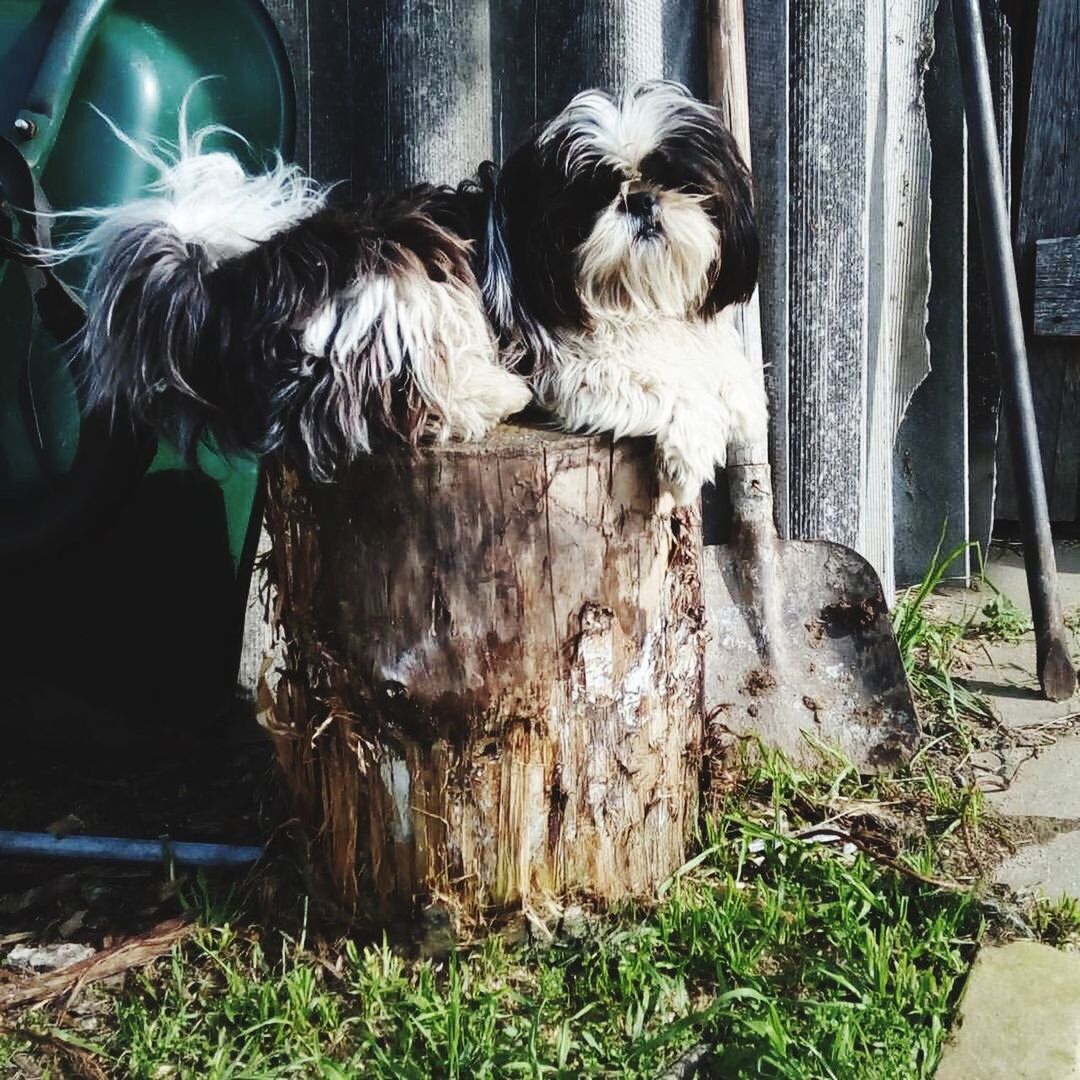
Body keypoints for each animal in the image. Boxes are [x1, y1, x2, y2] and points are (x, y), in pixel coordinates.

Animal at [481, 81, 768, 505]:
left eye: (676, 180)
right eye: (594, 195)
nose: (640, 199)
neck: (635, 298)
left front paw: (741, 396)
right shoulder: (575, 372)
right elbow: (674, 387)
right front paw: (688, 460)